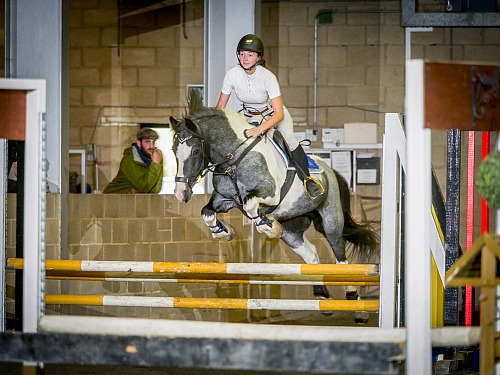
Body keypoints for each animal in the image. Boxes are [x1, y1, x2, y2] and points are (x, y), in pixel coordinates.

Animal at [170, 94, 376, 300]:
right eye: (173, 150)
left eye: (196, 151)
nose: (181, 194)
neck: (235, 158)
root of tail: (330, 171)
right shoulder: (224, 199)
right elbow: (207, 212)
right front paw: (224, 232)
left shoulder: (270, 193)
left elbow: (250, 205)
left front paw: (270, 228)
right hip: (292, 229)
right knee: (311, 255)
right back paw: (320, 293)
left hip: (330, 219)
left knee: (339, 253)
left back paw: (351, 293)